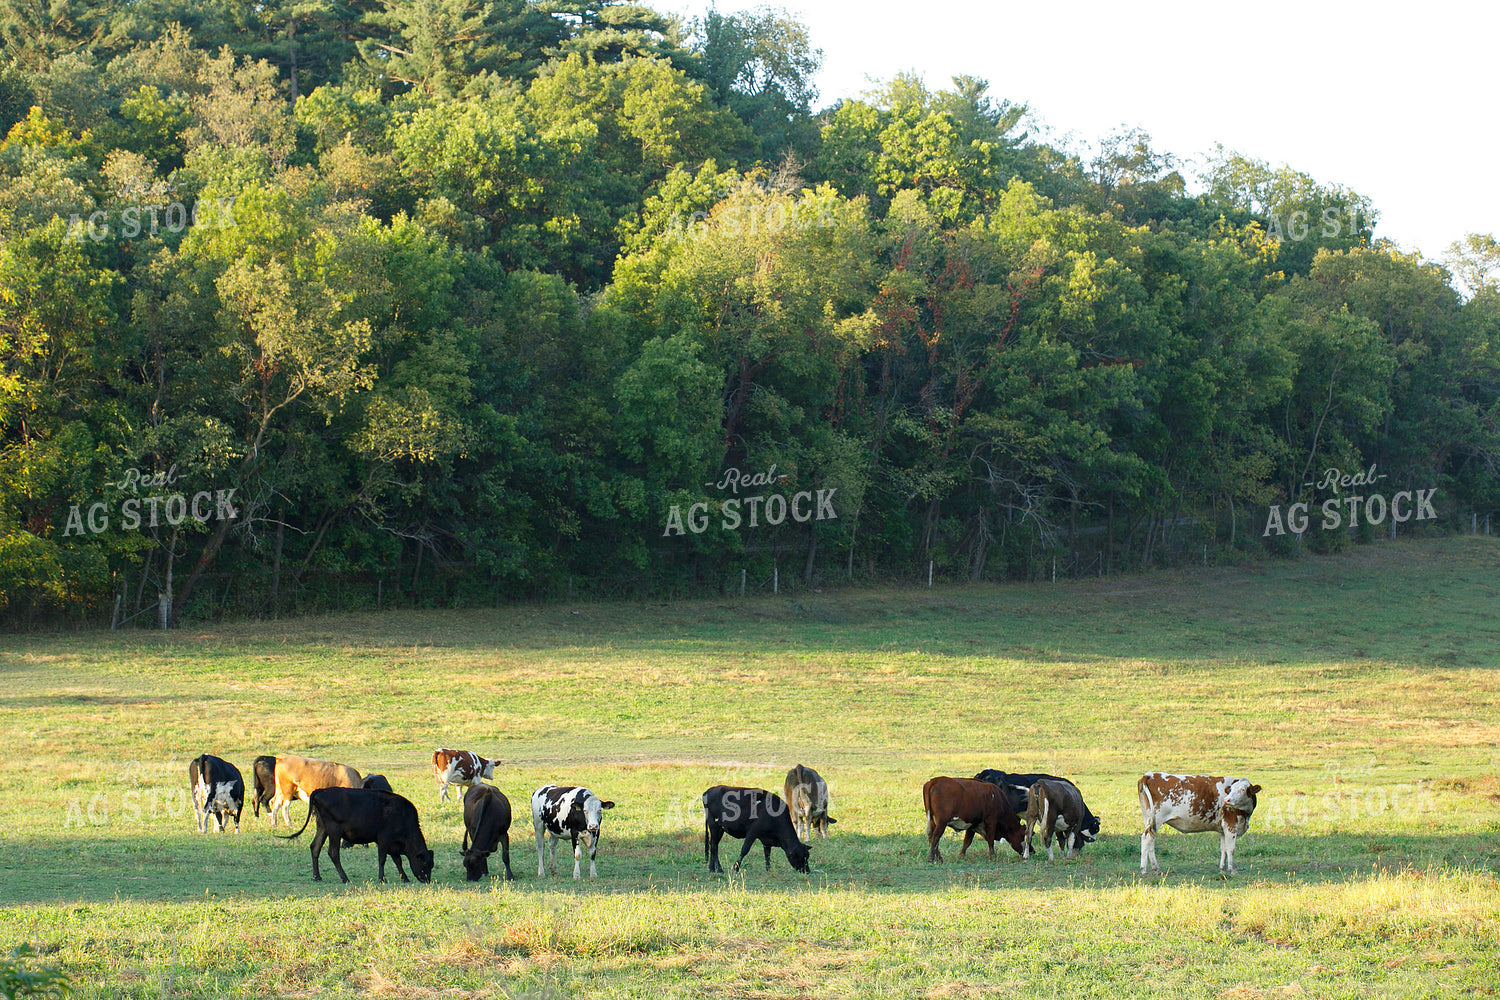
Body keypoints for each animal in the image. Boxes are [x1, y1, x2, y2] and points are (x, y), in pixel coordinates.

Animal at [279, 787, 433, 884]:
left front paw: (404, 878)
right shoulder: (383, 839)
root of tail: (320, 791)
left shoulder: (393, 845)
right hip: (334, 831)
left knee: (315, 847)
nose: (427, 880)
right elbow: (382, 859)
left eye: (432, 865)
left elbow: (398, 861)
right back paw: (345, 878)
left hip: (322, 827)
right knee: (333, 853)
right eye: (425, 864)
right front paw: (382, 878)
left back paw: (317, 877)